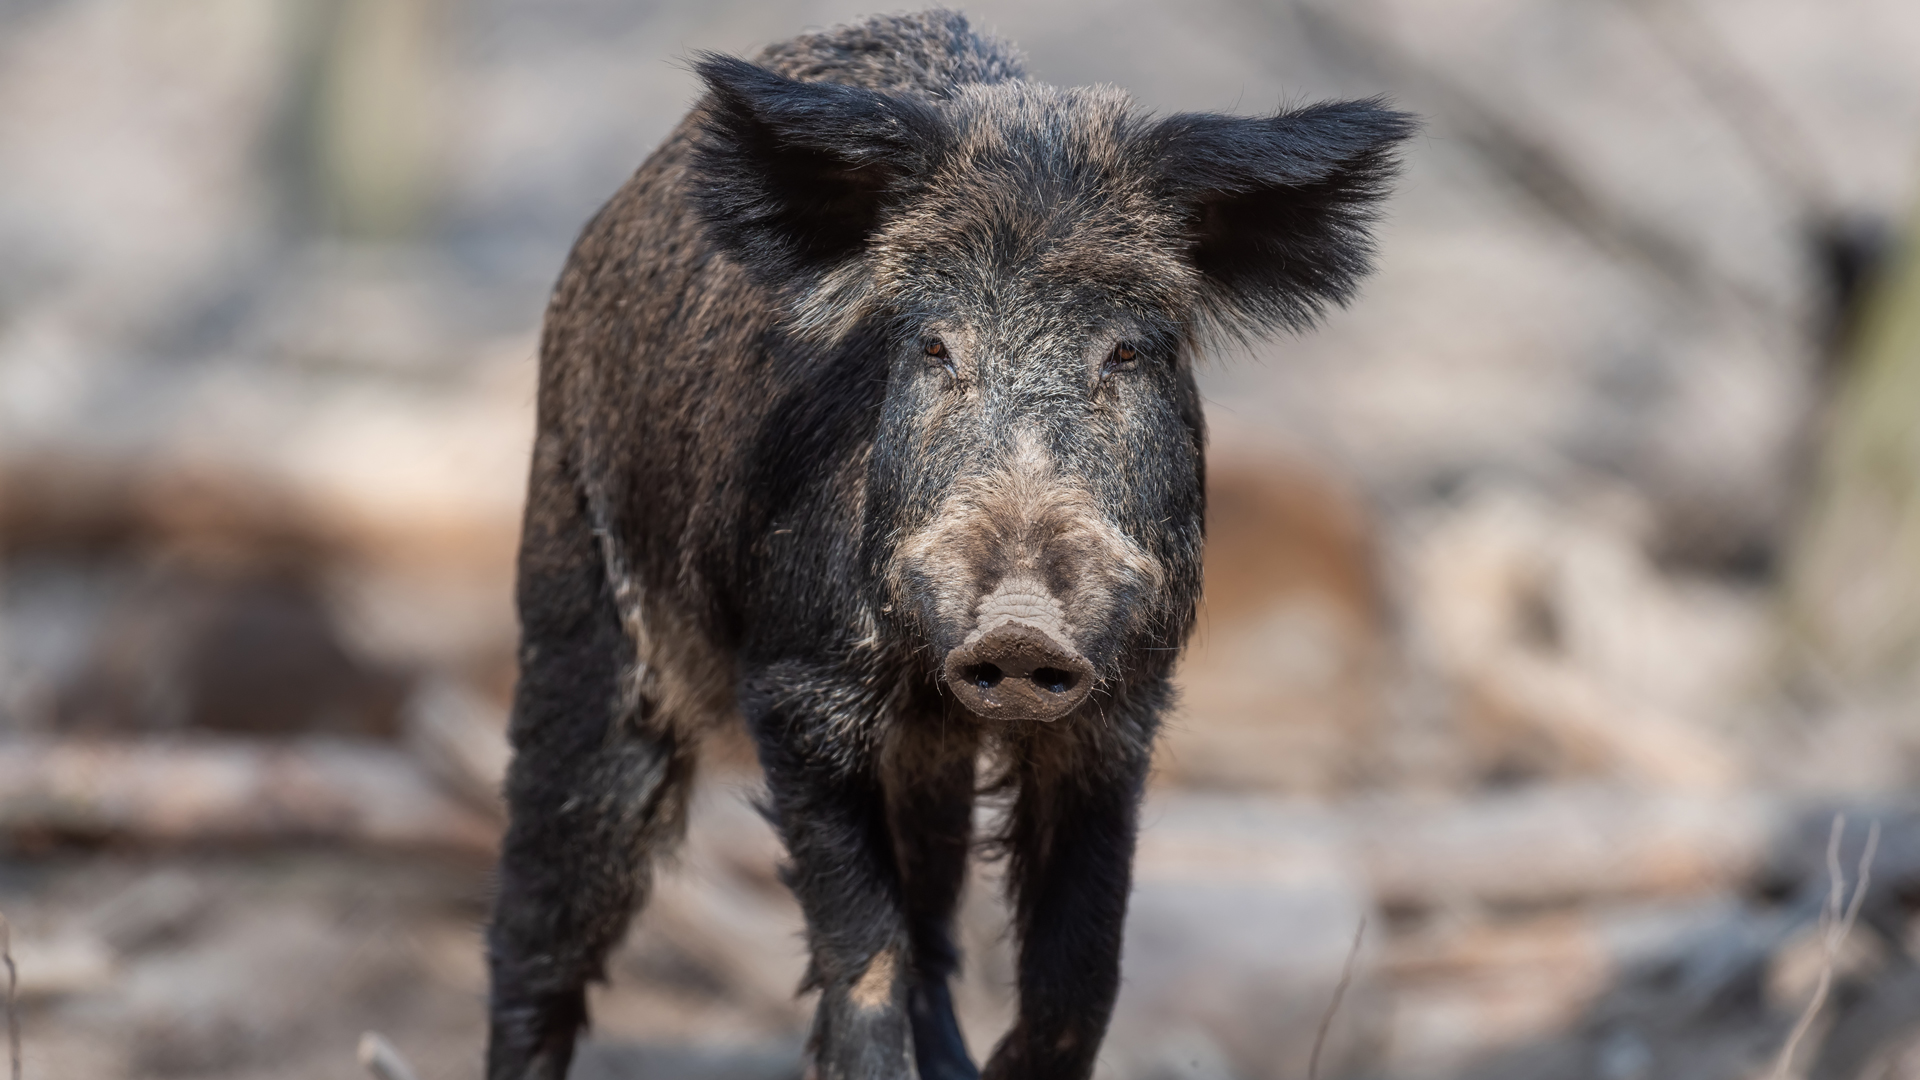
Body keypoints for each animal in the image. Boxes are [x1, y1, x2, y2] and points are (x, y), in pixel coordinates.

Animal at [486, 10, 1411, 1080]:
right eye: (935, 347)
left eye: (1128, 350)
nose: (1019, 630)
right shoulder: (798, 684)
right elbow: (863, 958)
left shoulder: (1120, 706)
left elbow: (1076, 979)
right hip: (578, 584)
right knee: (539, 920)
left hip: (928, 758)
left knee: (933, 928)